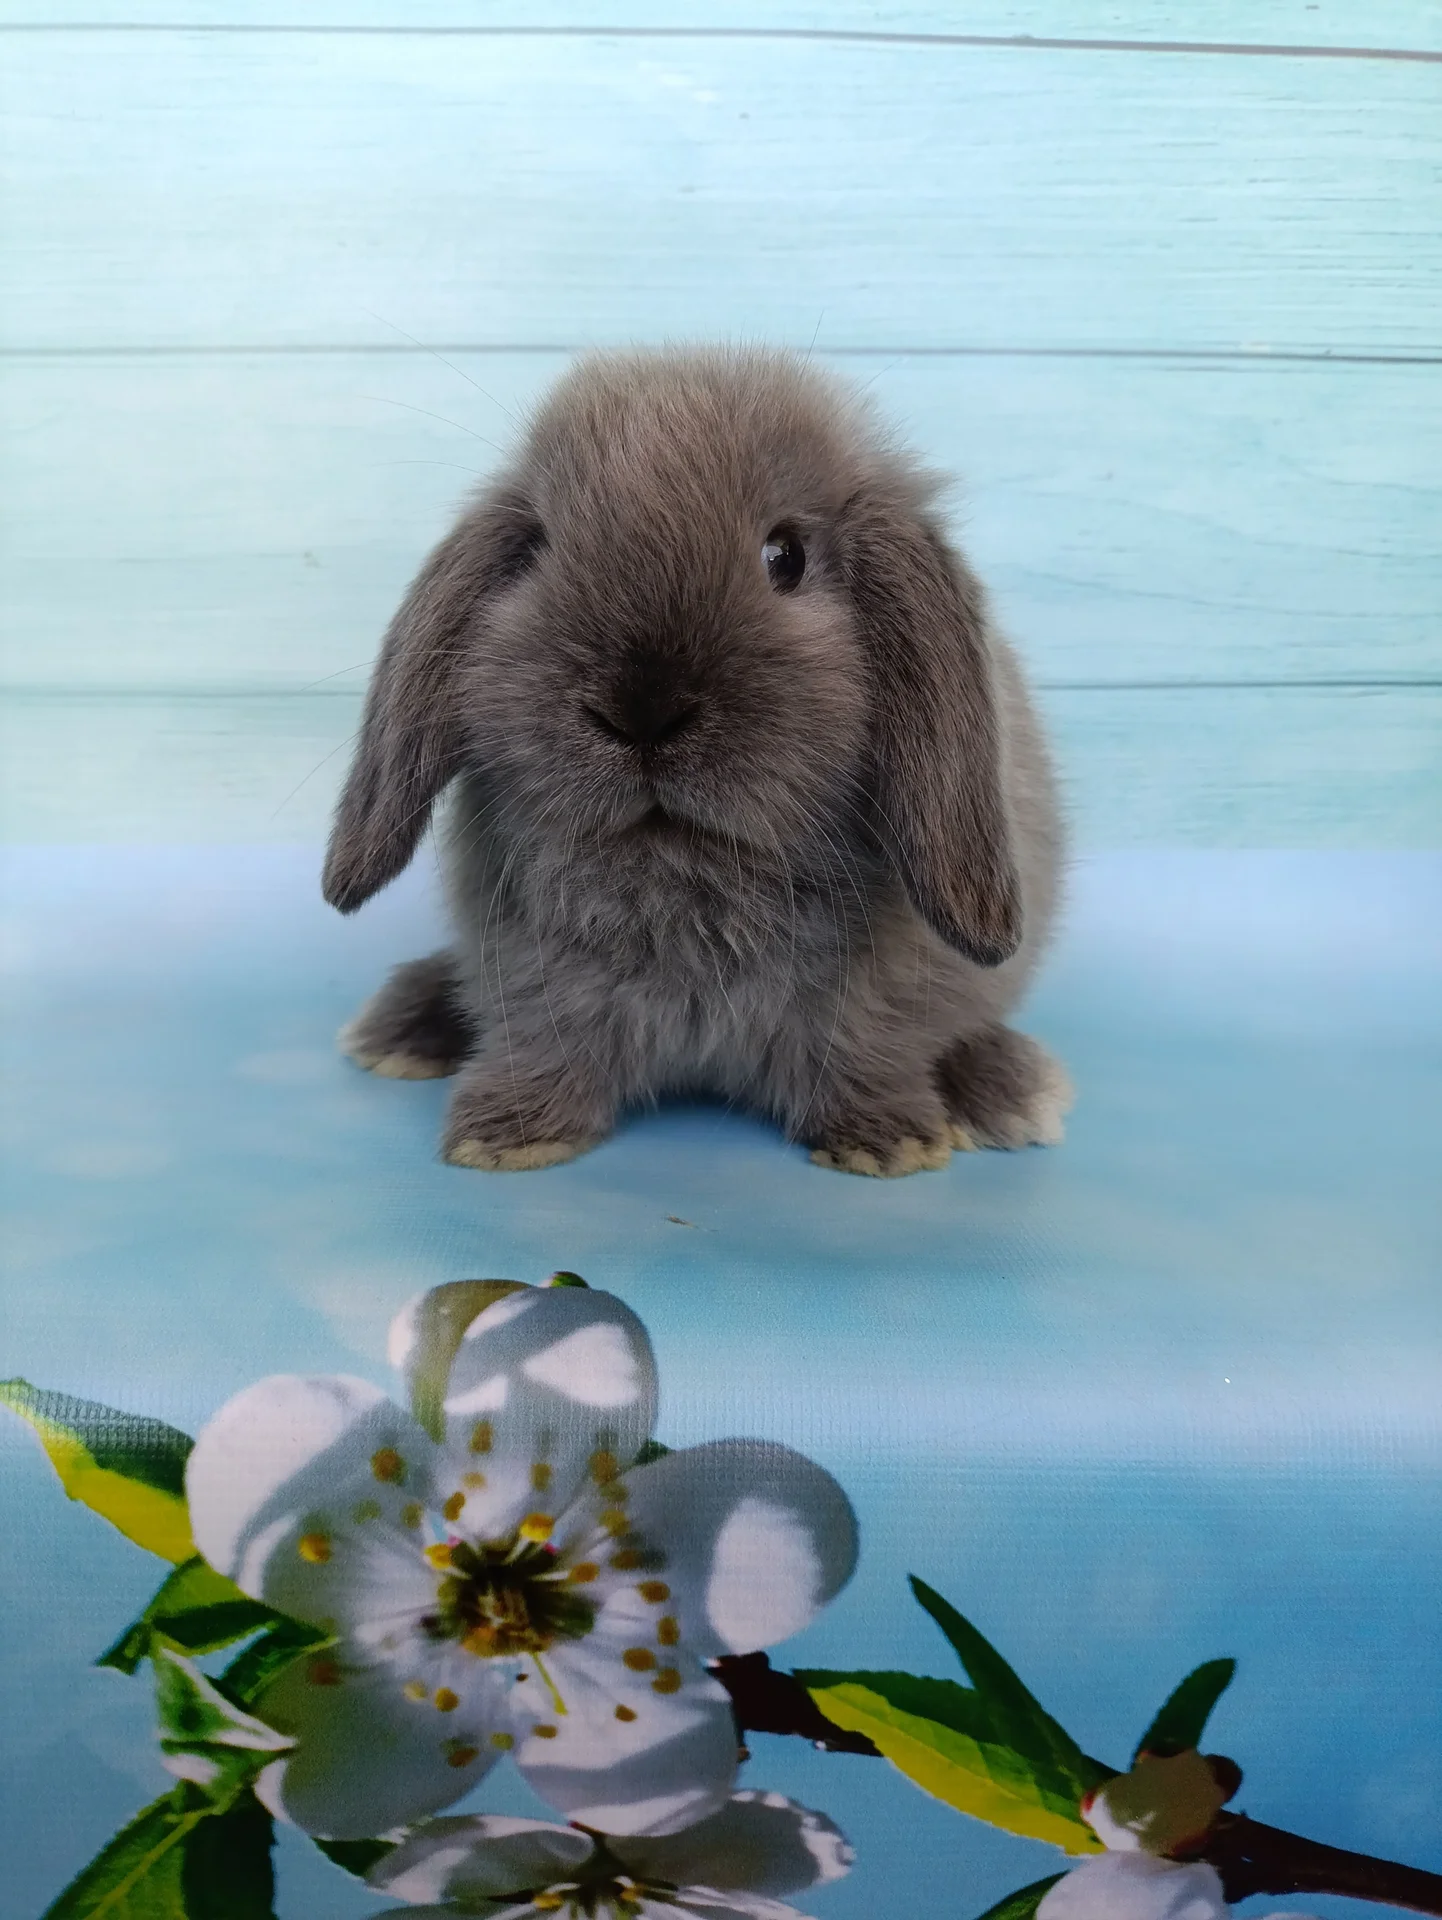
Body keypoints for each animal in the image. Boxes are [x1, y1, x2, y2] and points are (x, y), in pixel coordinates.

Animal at [323, 345, 1070, 1176]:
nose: (641, 710)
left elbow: (866, 1054)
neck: (683, 883)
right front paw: (508, 1134)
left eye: (786, 555)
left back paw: (1009, 1089)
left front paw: (889, 1140)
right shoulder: (531, 983)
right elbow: (541, 1049)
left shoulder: (885, 998)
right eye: (534, 550)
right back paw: (402, 1026)